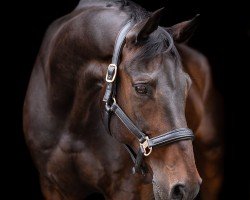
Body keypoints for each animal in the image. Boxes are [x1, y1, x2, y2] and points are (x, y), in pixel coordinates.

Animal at [23, 0, 223, 199]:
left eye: (187, 85)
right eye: (141, 88)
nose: (186, 186)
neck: (71, 124)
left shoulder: (128, 189)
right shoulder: (53, 186)